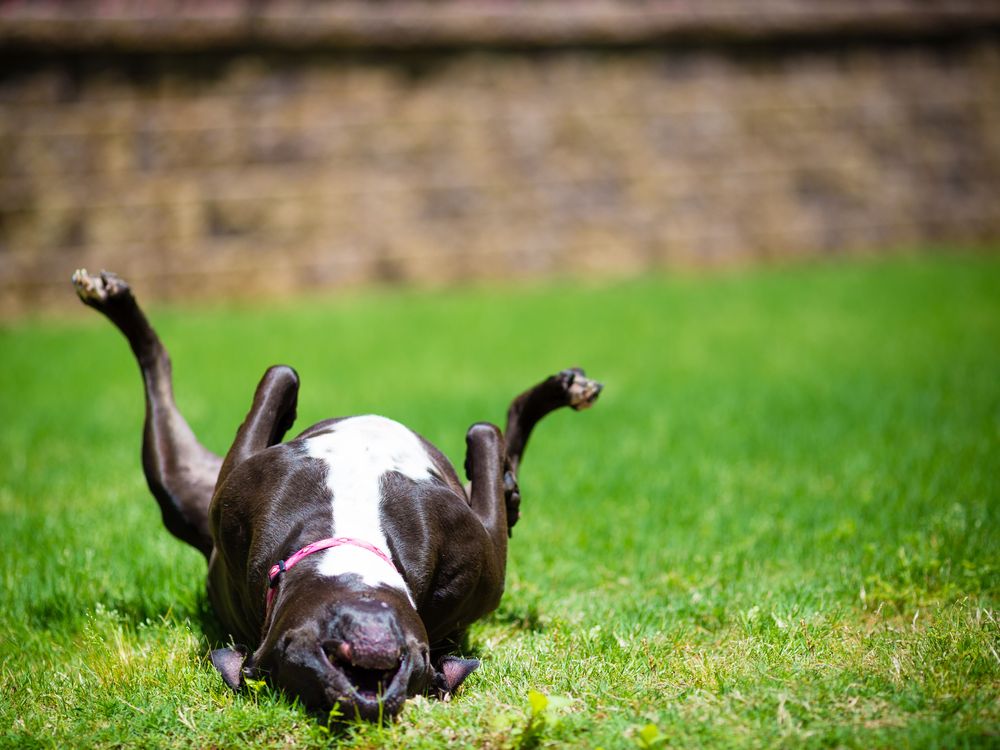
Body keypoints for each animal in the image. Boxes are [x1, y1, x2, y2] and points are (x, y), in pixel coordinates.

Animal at [74, 270, 600, 724]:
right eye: (298, 656)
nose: (366, 683)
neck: (349, 537)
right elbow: (482, 432)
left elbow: (281, 376)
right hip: (178, 486)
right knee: (157, 364)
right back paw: (111, 299)